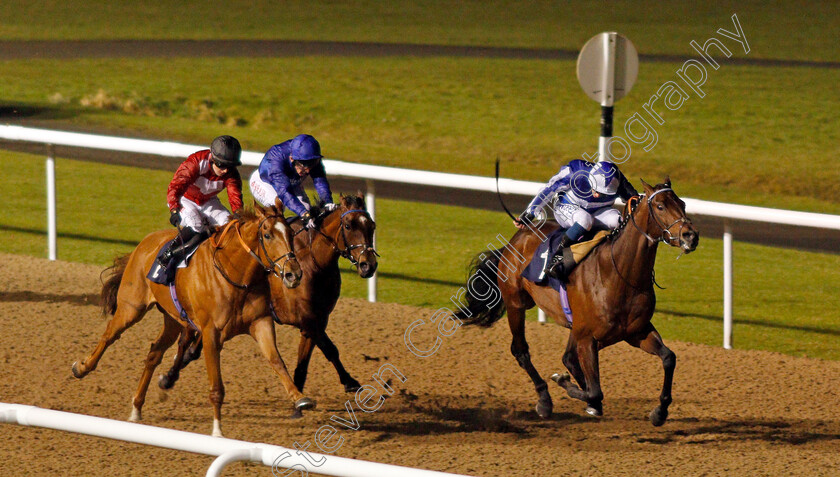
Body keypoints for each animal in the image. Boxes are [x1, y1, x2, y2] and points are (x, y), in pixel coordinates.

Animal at [71, 201, 308, 436]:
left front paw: (300, 398)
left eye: (290, 232)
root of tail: (145, 242)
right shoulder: (211, 333)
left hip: (173, 320)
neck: (235, 274)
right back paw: (82, 368)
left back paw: (137, 407)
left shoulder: (260, 322)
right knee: (109, 336)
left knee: (153, 353)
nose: (293, 274)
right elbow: (216, 386)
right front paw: (217, 430)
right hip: (131, 307)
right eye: (267, 235)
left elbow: (276, 360)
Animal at [158, 193, 380, 416]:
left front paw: (337, 385)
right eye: (348, 225)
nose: (368, 265)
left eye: (372, 226)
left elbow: (318, 355)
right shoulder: (307, 320)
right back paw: (169, 376)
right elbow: (324, 350)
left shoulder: (318, 319)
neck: (314, 264)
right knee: (184, 339)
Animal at [456, 178, 700, 424]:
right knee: (521, 350)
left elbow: (669, 357)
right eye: (660, 206)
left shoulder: (636, 332)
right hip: (516, 304)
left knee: (569, 358)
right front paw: (565, 383)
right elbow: (595, 390)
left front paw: (660, 411)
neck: (620, 274)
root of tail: (515, 240)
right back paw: (544, 400)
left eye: (682, 204)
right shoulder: (587, 337)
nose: (691, 235)